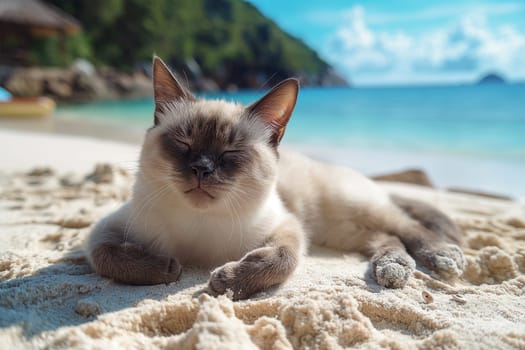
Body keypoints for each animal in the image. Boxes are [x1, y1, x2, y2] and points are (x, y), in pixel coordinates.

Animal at [84, 56, 464, 300]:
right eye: (183, 144)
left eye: (231, 153)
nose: (202, 168)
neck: (200, 227)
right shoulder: (107, 229)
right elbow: (106, 254)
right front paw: (168, 268)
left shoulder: (287, 228)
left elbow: (282, 259)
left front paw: (226, 282)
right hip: (343, 232)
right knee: (387, 237)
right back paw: (393, 268)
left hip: (352, 208)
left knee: (406, 227)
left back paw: (442, 256)